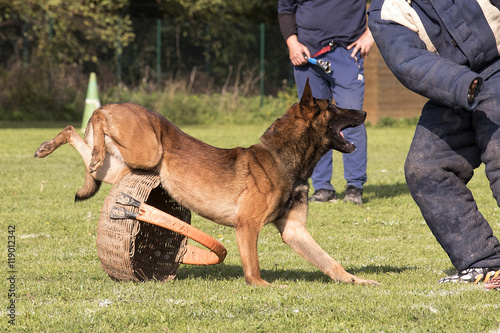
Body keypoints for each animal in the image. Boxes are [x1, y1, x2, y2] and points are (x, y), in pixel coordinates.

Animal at [35, 80, 376, 286]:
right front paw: (262, 286)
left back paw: (49, 146)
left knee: (73, 132)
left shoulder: (295, 231)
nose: (363, 111)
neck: (283, 159)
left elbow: (330, 262)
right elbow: (253, 267)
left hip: (120, 166)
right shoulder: (247, 226)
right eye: (333, 107)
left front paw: (358, 280)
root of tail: (115, 105)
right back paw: (85, 126)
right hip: (147, 151)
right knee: (93, 117)